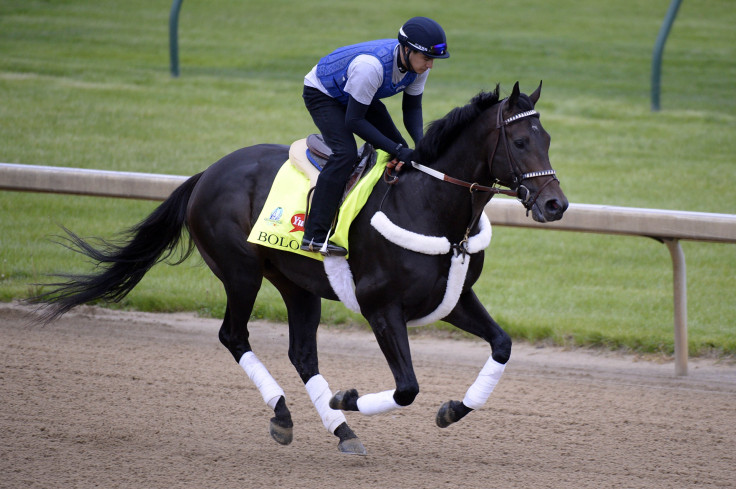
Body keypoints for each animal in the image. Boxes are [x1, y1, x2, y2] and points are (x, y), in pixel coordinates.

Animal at [33, 83, 568, 454]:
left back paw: (342, 431)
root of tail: (207, 173)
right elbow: (407, 388)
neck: (428, 203)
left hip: (297, 284)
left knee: (302, 354)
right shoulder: (381, 306)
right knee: (234, 336)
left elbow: (502, 345)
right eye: (520, 141)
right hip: (241, 272)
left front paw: (453, 409)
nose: (556, 204)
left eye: (547, 137)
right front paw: (346, 398)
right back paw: (288, 414)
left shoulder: (453, 299)